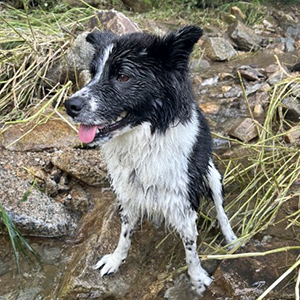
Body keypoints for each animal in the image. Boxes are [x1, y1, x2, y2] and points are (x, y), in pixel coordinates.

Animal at [64, 25, 238, 296]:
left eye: (123, 77)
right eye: (93, 74)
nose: (69, 105)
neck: (145, 140)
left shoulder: (183, 201)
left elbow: (190, 247)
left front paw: (197, 278)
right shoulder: (127, 193)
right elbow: (124, 234)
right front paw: (116, 260)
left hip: (212, 175)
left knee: (221, 210)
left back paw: (231, 240)